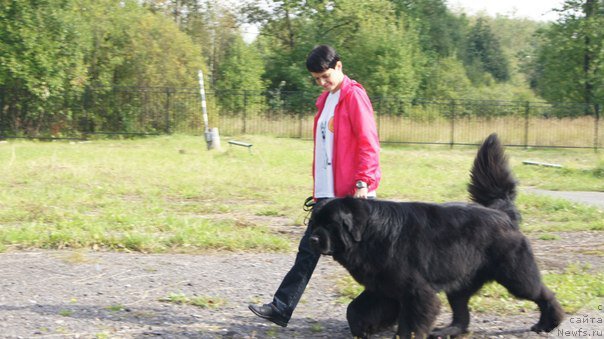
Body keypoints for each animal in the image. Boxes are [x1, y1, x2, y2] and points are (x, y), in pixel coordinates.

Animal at [310, 134, 564, 338]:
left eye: (330, 225)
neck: (370, 235)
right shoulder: (383, 287)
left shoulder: (416, 290)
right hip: (461, 280)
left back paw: (549, 322)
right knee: (462, 313)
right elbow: (354, 309)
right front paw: (362, 329)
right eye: (314, 223)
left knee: (542, 293)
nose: (313, 240)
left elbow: (411, 322)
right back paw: (448, 331)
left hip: (515, 274)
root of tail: (502, 213)